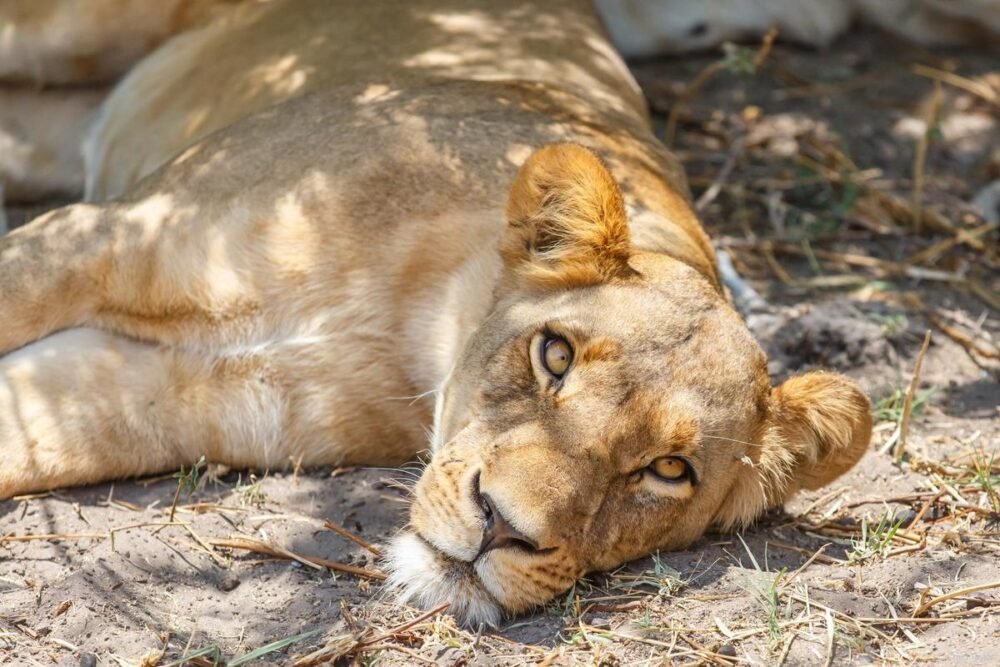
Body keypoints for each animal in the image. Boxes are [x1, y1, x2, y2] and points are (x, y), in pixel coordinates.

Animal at [0, 0, 873, 625]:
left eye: (668, 470)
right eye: (554, 355)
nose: (501, 526)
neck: (409, 316)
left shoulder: (155, 395)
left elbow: (26, 437)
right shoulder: (114, 234)